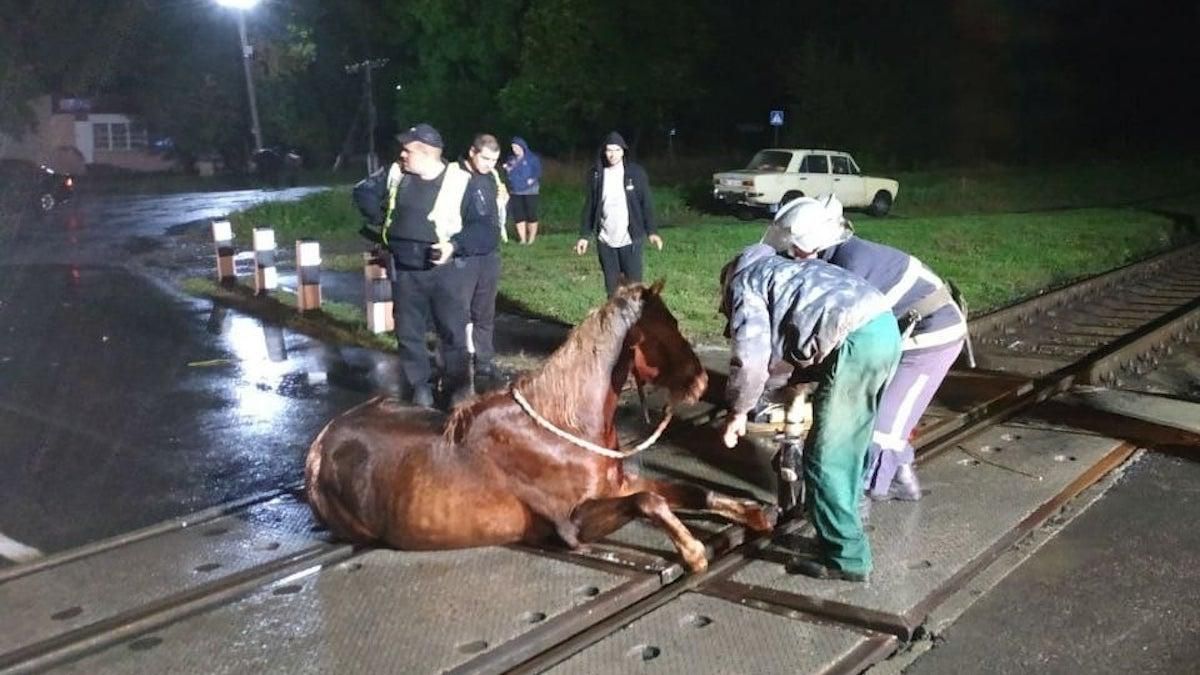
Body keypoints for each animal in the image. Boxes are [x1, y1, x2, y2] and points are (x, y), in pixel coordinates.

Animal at [302, 281, 777, 569]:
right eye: (666, 327)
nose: (702, 382)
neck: (562, 427)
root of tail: (320, 444)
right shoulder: (570, 526)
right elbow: (650, 502)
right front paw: (693, 550)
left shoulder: (619, 485)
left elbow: (691, 491)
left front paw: (755, 512)